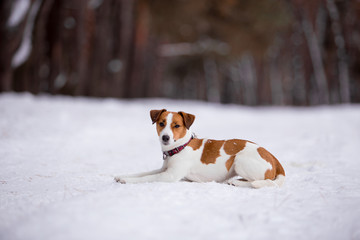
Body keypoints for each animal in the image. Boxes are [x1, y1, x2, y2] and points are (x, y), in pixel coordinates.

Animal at [114, 109, 286, 188]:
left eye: (176, 125)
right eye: (161, 123)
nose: (165, 137)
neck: (180, 147)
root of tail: (274, 159)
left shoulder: (168, 176)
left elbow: (146, 178)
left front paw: (126, 180)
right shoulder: (163, 169)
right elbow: (143, 173)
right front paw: (122, 175)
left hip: (240, 160)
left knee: (264, 182)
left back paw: (236, 182)